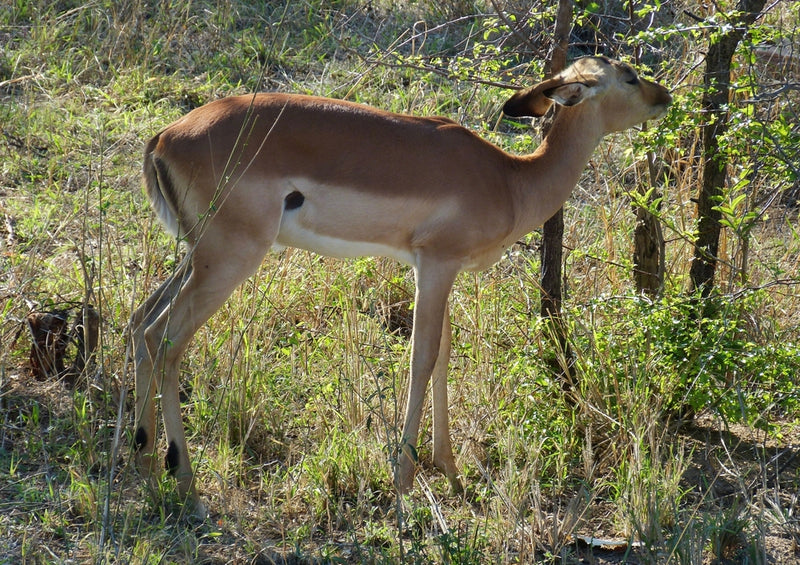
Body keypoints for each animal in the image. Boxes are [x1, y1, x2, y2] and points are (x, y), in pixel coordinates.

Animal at [131, 55, 668, 512]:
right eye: (629, 76)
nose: (664, 97)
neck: (512, 179)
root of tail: (164, 137)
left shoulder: (434, 271)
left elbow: (444, 357)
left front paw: (452, 474)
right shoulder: (436, 264)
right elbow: (422, 358)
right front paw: (404, 481)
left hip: (199, 256)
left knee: (140, 322)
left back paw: (144, 462)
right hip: (228, 258)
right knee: (165, 338)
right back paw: (184, 480)